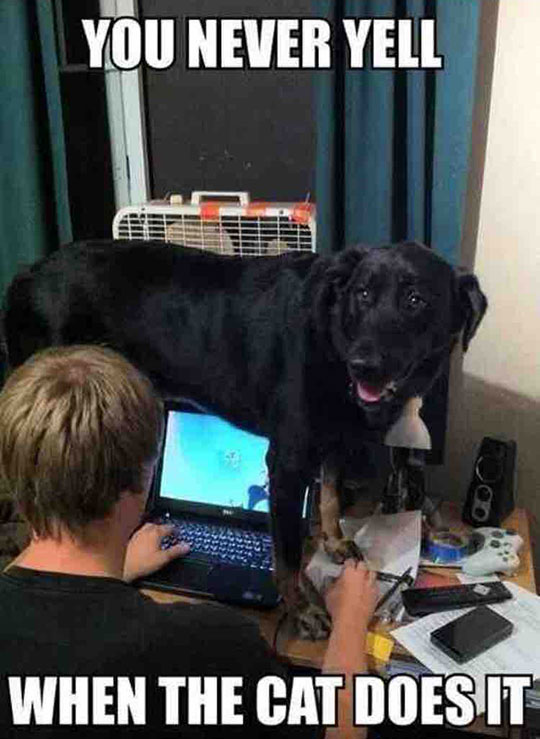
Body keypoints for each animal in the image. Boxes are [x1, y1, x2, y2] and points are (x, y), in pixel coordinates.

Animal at [3, 239, 487, 637]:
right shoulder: (288, 463)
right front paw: (302, 610)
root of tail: (26, 273)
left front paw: (333, 542)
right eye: (363, 294)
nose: (363, 364)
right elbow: (287, 554)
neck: (334, 336)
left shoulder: (332, 441)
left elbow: (330, 497)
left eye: (415, 300)